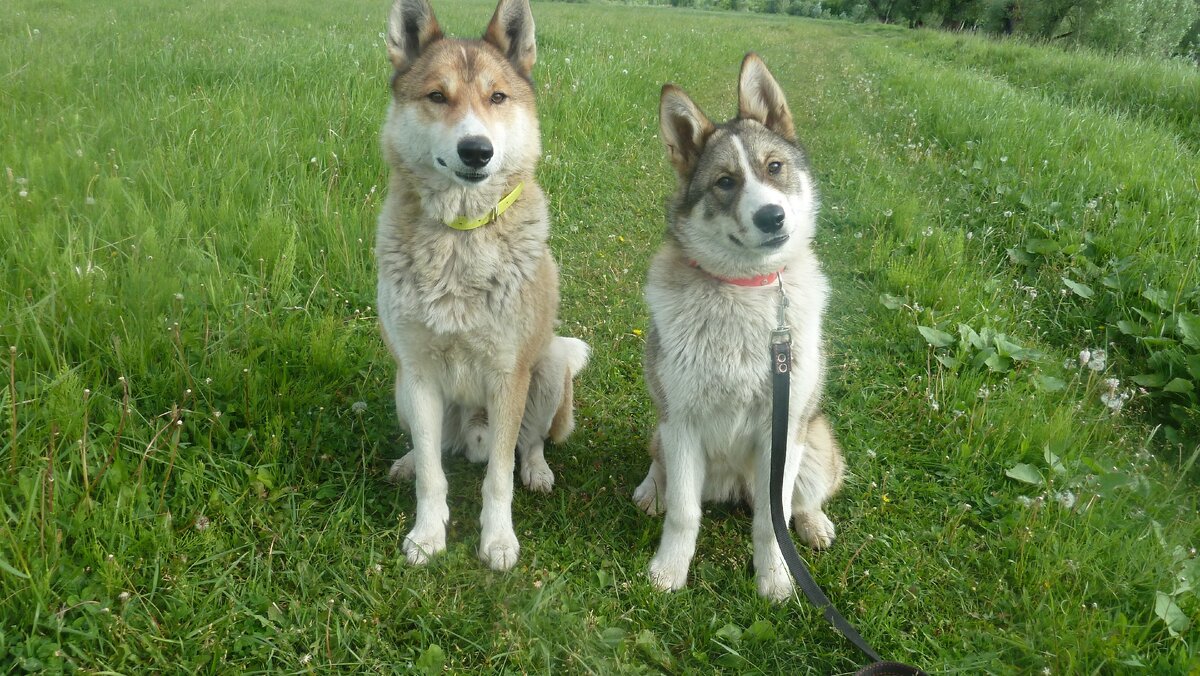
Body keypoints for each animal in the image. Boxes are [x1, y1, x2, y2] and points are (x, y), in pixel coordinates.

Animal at [376, 0, 588, 571]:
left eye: (497, 97)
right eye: (437, 96)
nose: (476, 150)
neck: (460, 237)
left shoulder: (507, 376)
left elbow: (498, 478)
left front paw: (497, 540)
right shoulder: (420, 375)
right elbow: (433, 475)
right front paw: (428, 534)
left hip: (549, 366)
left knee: (530, 444)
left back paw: (537, 470)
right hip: (401, 387)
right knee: (434, 447)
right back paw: (407, 459)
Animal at [638, 54, 844, 602]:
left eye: (774, 167)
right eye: (725, 182)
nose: (772, 216)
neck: (743, 292)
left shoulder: (782, 430)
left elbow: (773, 522)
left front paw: (775, 580)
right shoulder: (681, 423)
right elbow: (684, 514)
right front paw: (669, 572)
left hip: (814, 443)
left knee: (800, 503)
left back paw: (814, 525)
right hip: (662, 432)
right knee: (660, 467)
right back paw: (649, 491)